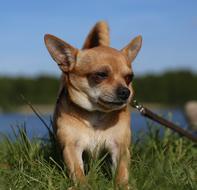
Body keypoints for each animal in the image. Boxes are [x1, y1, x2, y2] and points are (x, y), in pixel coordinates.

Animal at [44, 21, 142, 189]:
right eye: (101, 75)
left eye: (129, 77)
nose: (125, 91)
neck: (96, 114)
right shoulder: (72, 147)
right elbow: (78, 172)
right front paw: (82, 185)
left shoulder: (119, 147)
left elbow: (121, 171)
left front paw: (122, 185)